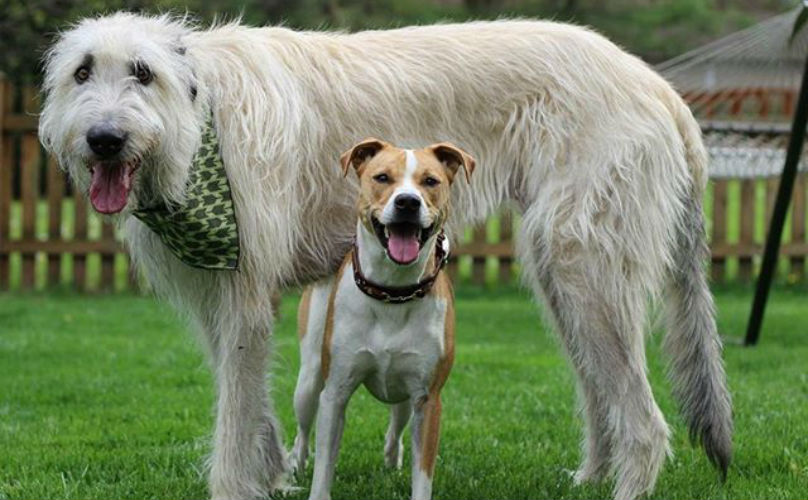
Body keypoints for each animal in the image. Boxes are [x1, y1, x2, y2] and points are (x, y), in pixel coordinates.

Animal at [292, 138, 474, 500]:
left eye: (430, 181)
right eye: (382, 177)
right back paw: (296, 462)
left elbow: (423, 472)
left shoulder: (427, 399)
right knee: (304, 425)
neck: (393, 292)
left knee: (397, 418)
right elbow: (324, 466)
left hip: (405, 393)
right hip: (309, 376)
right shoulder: (335, 392)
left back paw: (392, 456)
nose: (407, 202)